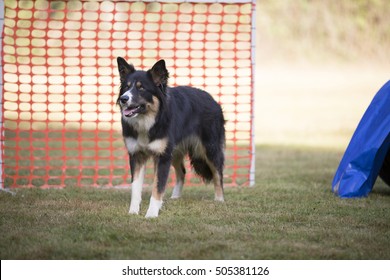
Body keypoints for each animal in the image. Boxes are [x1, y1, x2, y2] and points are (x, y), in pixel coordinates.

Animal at [116, 58, 225, 218]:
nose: (123, 99)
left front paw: (152, 213)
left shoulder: (163, 156)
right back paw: (175, 197)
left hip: (209, 148)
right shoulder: (137, 155)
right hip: (175, 152)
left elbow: (158, 186)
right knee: (182, 172)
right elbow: (135, 187)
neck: (149, 121)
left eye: (141, 88)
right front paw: (133, 211)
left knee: (218, 173)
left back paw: (219, 199)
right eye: (126, 87)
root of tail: (212, 99)